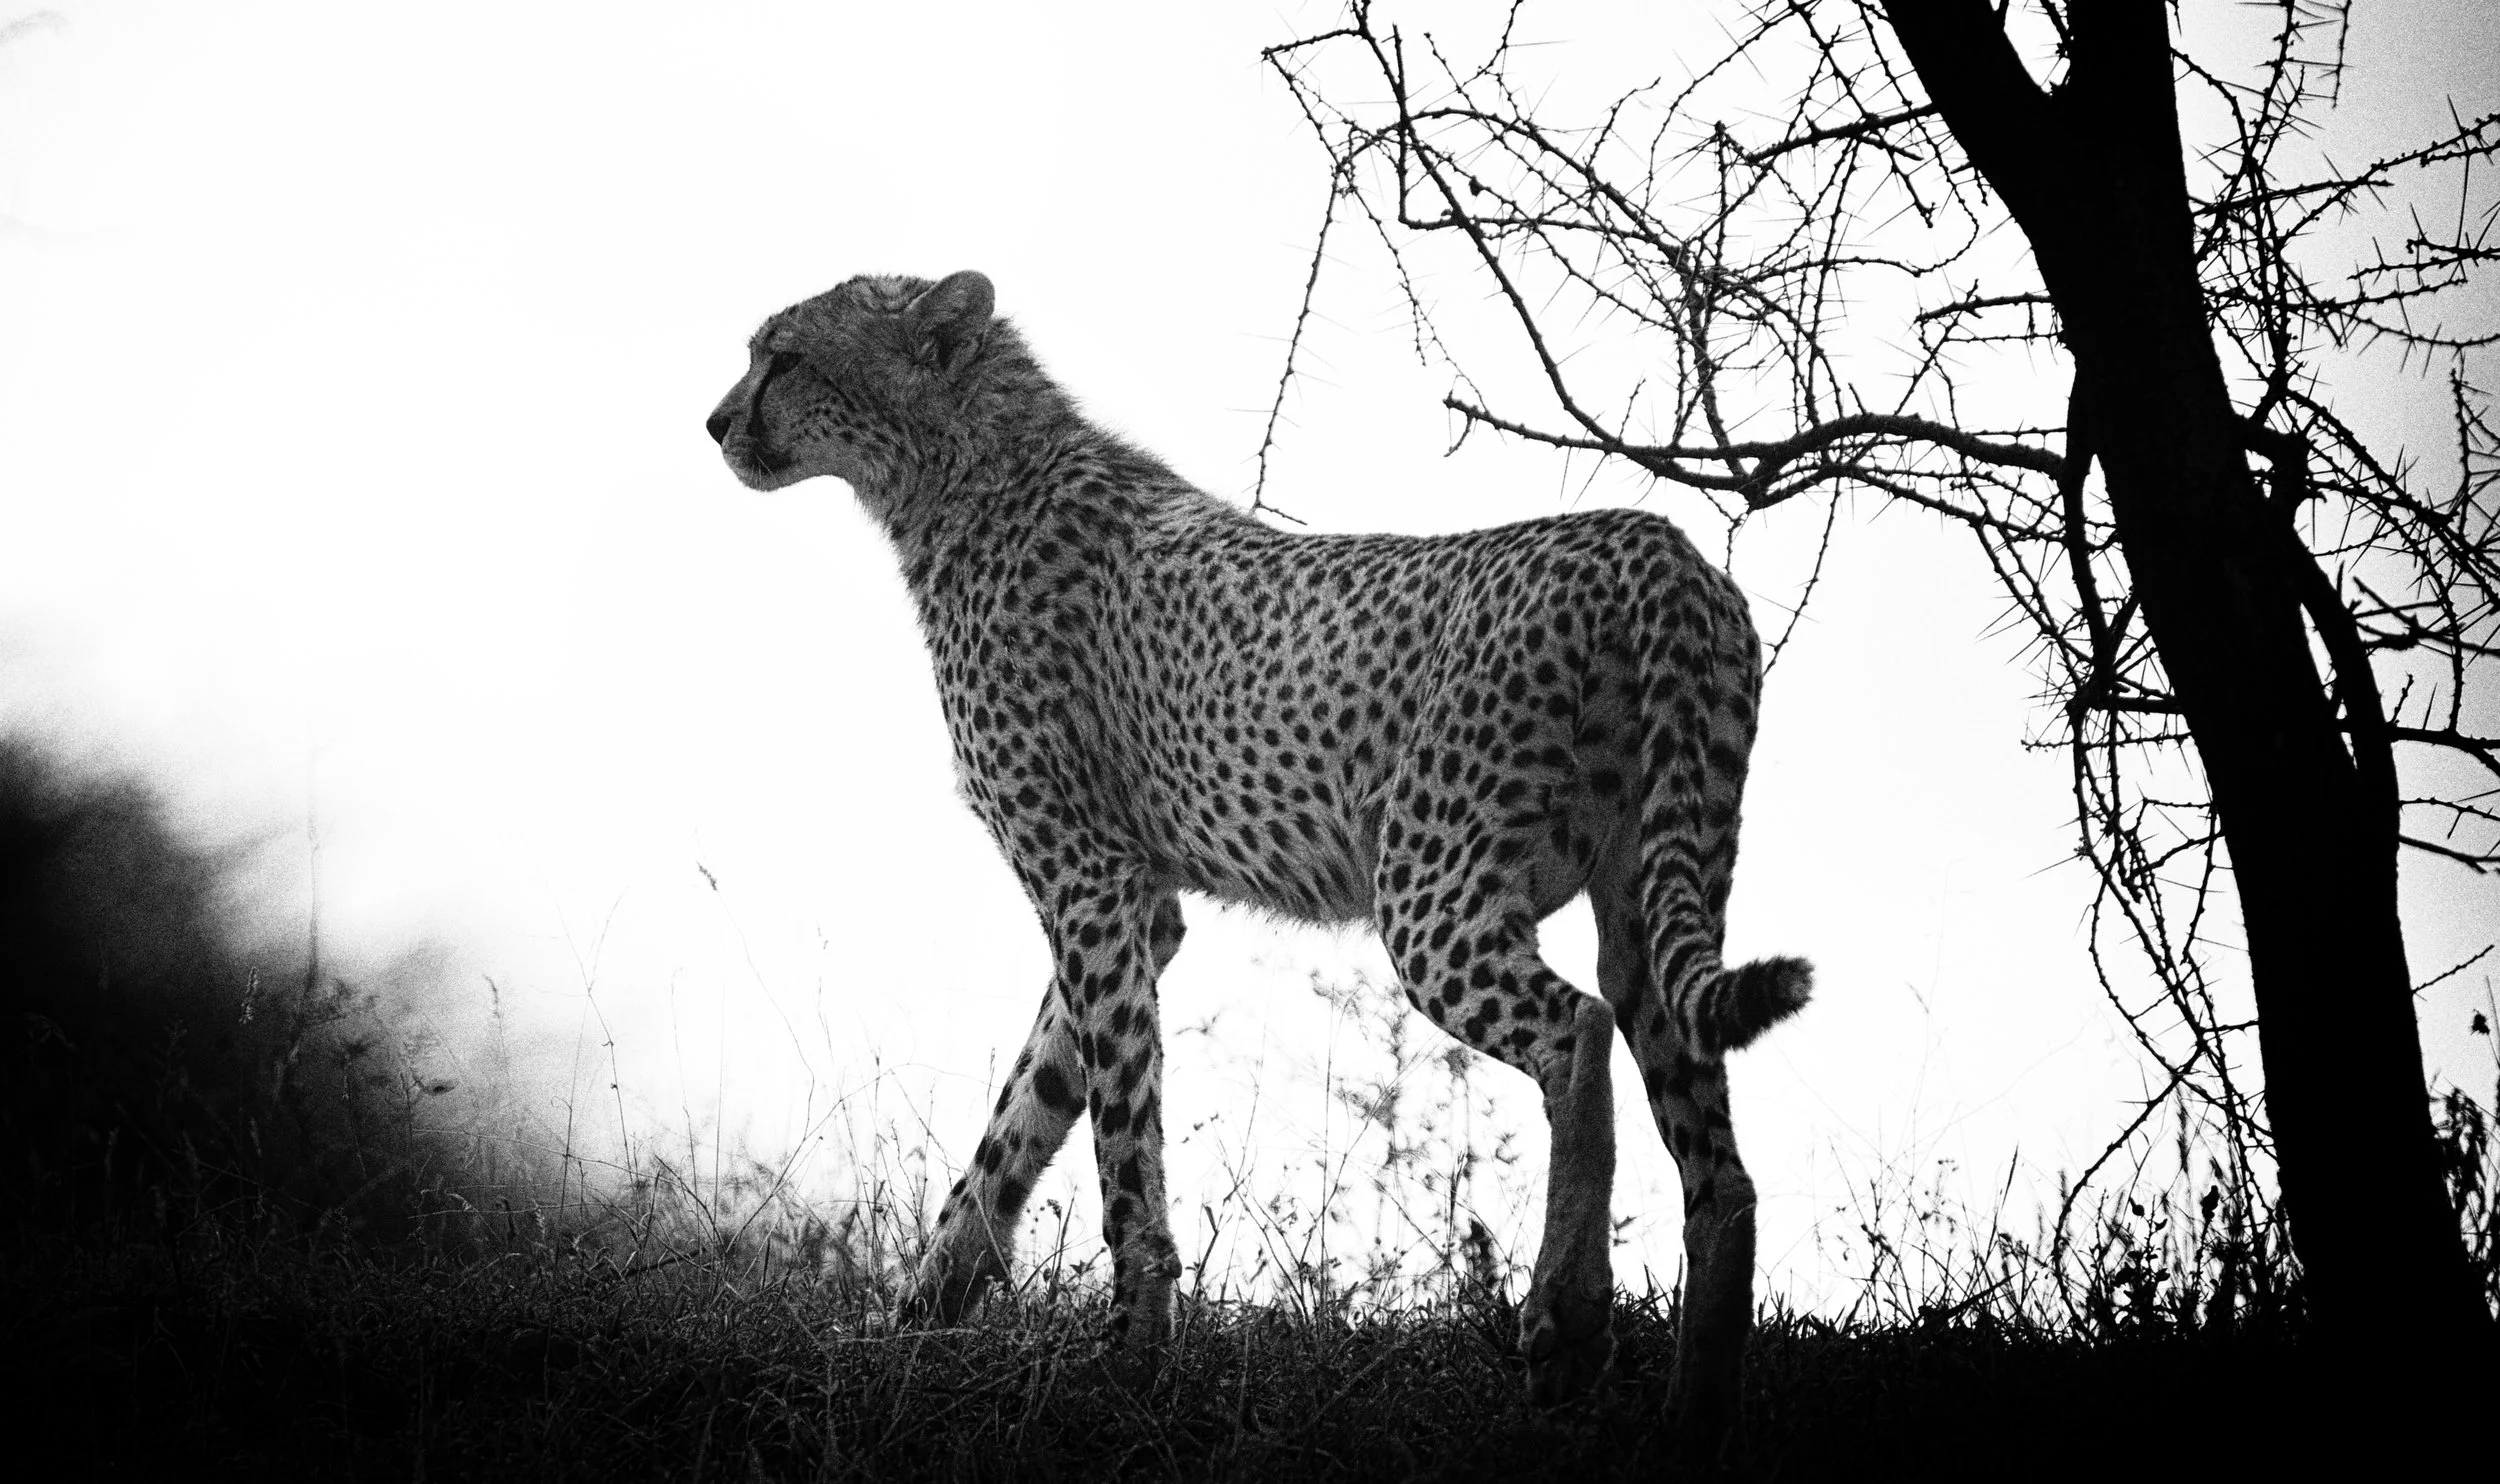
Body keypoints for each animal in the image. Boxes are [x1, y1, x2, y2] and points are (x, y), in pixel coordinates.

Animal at [706, 269, 1811, 1441]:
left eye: (783, 356)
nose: (717, 421)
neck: (957, 476)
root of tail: (1655, 541)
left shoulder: (1086, 876)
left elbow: (1117, 1131)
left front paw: (1131, 1359)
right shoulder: (1133, 900)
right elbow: (1026, 1113)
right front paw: (916, 1319)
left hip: (1428, 885)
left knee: (1579, 1029)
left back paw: (1566, 1312)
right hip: (1650, 886)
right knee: (1715, 1162)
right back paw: (1693, 1411)